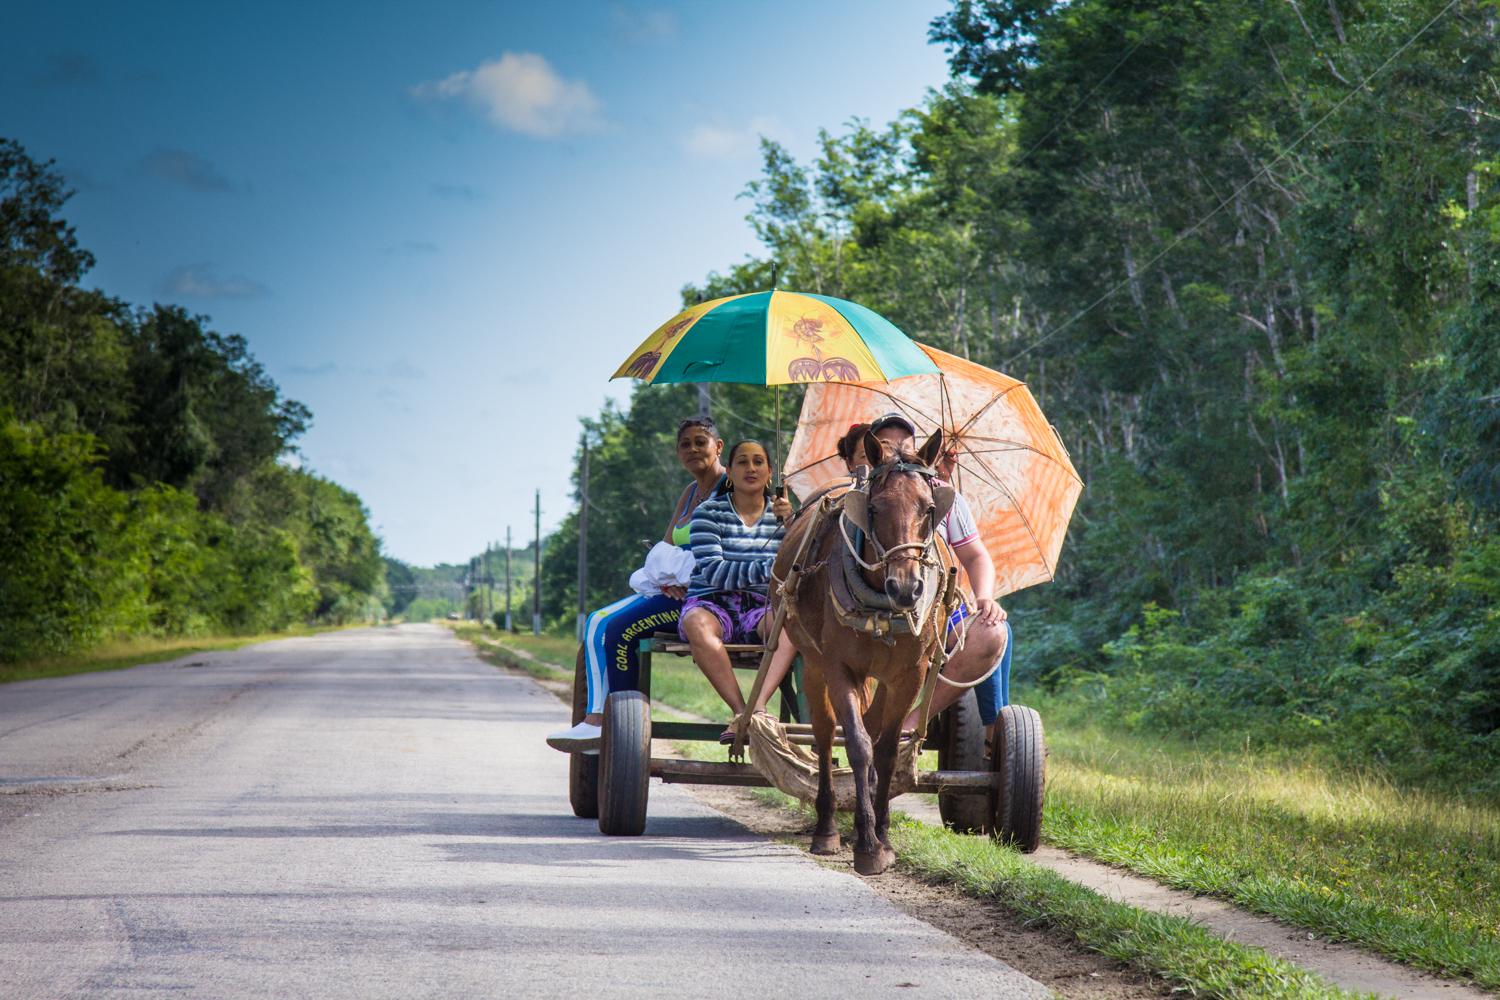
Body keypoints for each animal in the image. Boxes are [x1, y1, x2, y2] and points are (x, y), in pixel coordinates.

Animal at [768, 431, 954, 875]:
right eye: (873, 509)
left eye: (929, 509)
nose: (905, 588)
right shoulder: (838, 667)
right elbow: (855, 743)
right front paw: (867, 844)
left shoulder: (910, 674)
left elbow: (884, 750)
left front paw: (881, 835)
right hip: (813, 663)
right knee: (823, 734)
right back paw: (827, 827)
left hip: (885, 676)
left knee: (873, 725)